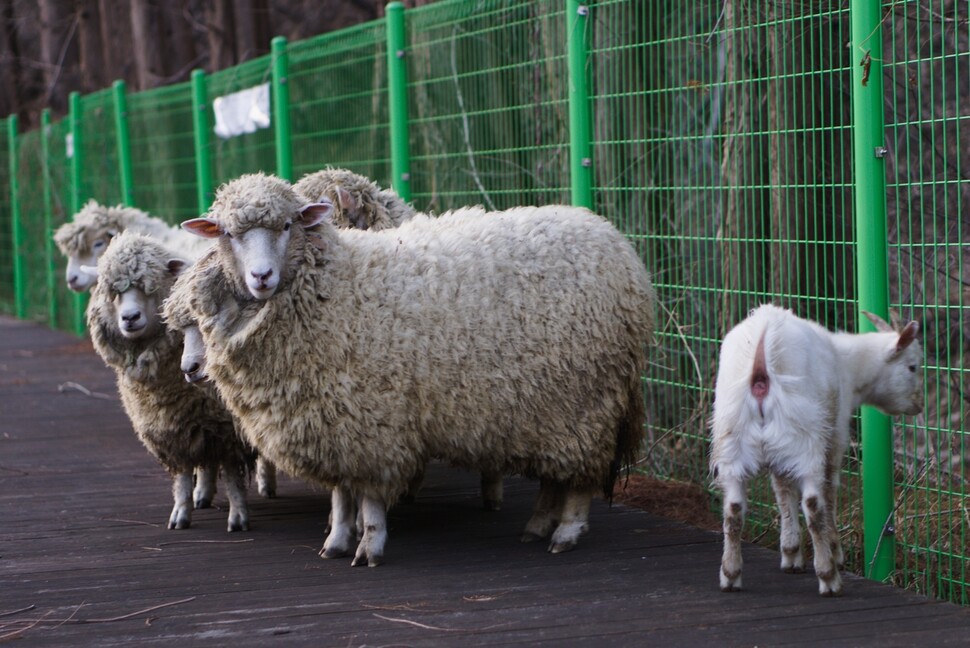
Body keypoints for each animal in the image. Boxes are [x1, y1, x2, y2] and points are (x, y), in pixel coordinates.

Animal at [86, 232, 258, 532]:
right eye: (114, 294)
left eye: (149, 288)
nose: (130, 318)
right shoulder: (172, 424)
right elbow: (182, 474)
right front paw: (181, 511)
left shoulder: (227, 426)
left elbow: (232, 473)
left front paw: (238, 516)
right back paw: (202, 493)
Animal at [178, 172, 656, 568]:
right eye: (227, 234)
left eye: (287, 226)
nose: (261, 276)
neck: (333, 285)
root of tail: (616, 242)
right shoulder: (331, 418)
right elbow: (340, 494)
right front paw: (336, 540)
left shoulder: (372, 421)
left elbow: (368, 497)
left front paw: (370, 545)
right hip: (548, 409)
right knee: (555, 477)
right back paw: (537, 526)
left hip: (585, 401)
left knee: (577, 479)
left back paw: (566, 531)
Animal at [712, 304, 924, 596]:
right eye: (912, 367)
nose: (918, 406)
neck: (849, 366)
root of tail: (761, 358)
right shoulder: (835, 435)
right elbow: (829, 489)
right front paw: (835, 553)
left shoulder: (779, 452)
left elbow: (783, 491)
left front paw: (791, 554)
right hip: (804, 434)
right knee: (813, 503)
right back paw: (829, 576)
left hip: (732, 436)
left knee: (733, 509)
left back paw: (730, 575)